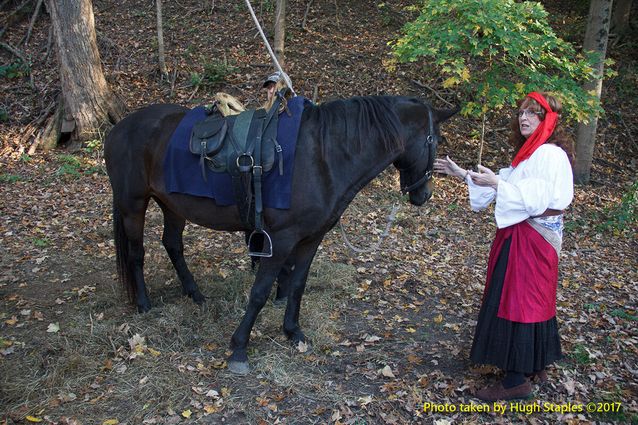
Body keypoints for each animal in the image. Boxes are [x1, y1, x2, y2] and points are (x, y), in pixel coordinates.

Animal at [102, 94, 458, 372]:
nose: (424, 195)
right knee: (137, 253)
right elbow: (260, 292)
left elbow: (297, 286)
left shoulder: (310, 239)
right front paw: (240, 347)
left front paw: (293, 332)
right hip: (133, 204)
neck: (323, 156)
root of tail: (118, 128)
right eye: (435, 141)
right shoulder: (281, 240)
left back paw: (195, 294)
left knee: (173, 245)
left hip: (172, 205)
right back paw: (144, 303)